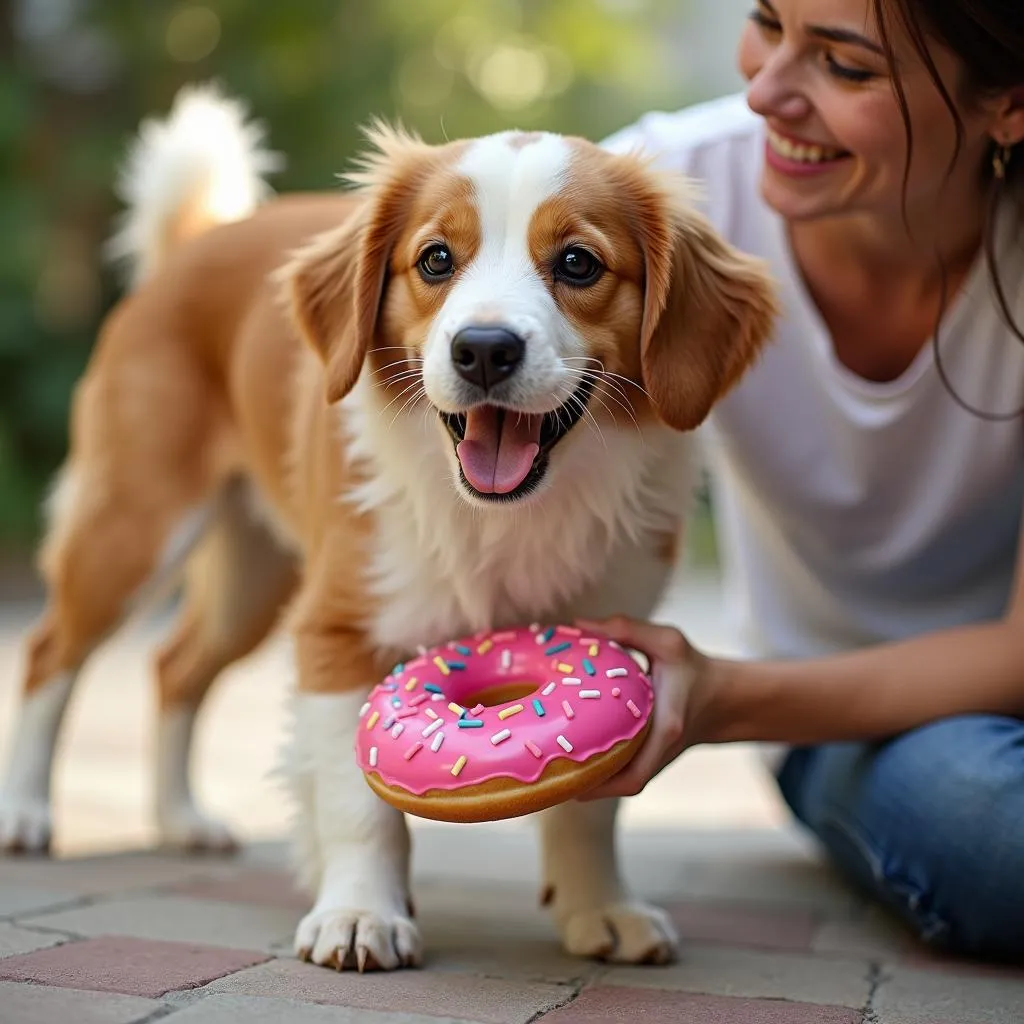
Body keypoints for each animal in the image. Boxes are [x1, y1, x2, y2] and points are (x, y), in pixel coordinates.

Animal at [0, 86, 774, 966]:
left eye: (578, 263)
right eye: (435, 259)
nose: (483, 349)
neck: (499, 519)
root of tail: (198, 245)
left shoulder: (610, 637)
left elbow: (589, 804)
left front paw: (600, 907)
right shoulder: (338, 634)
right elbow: (357, 803)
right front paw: (359, 913)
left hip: (251, 585)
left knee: (174, 667)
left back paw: (181, 818)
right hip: (136, 527)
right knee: (51, 652)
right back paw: (26, 812)